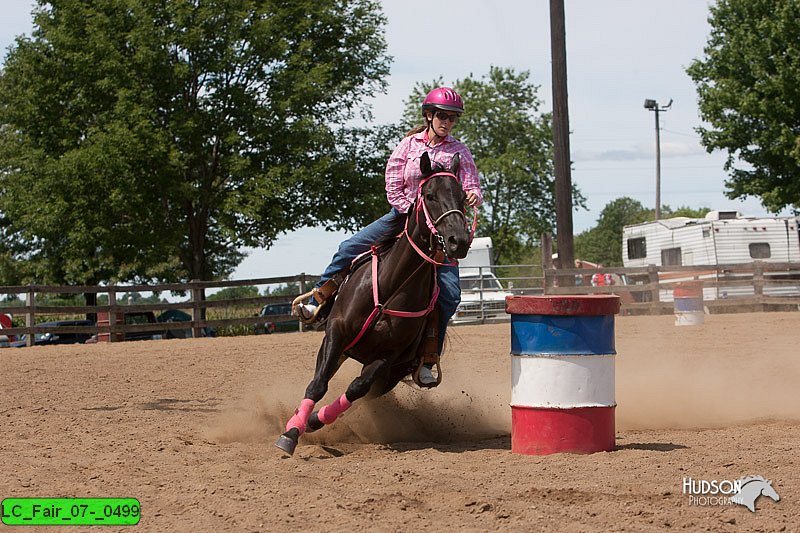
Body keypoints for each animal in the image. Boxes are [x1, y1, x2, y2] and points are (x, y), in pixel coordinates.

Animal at [276, 152, 472, 456]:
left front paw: (312, 420)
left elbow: (356, 389)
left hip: (391, 374)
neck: (393, 285)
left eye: (463, 196)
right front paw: (291, 432)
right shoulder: (336, 334)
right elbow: (318, 384)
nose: (458, 242)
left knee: (364, 396)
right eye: (429, 195)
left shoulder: (387, 357)